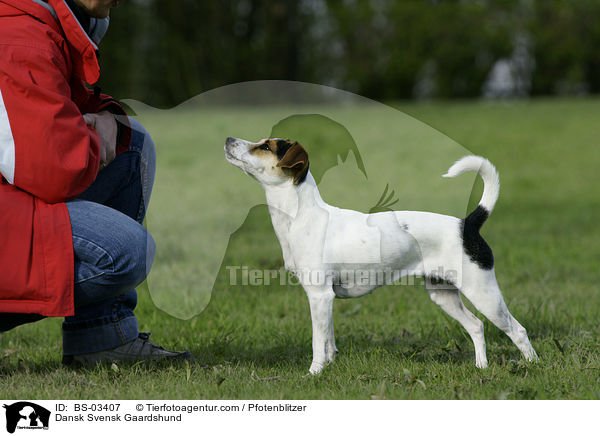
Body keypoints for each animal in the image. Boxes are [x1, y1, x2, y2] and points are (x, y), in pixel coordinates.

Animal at [225, 137, 540, 374]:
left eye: (266, 146)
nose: (229, 139)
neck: (301, 216)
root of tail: (468, 224)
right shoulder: (326, 299)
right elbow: (329, 341)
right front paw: (329, 366)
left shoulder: (319, 295)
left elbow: (317, 342)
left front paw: (314, 373)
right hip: (443, 295)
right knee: (476, 326)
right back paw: (481, 367)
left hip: (484, 293)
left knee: (518, 330)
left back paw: (532, 365)